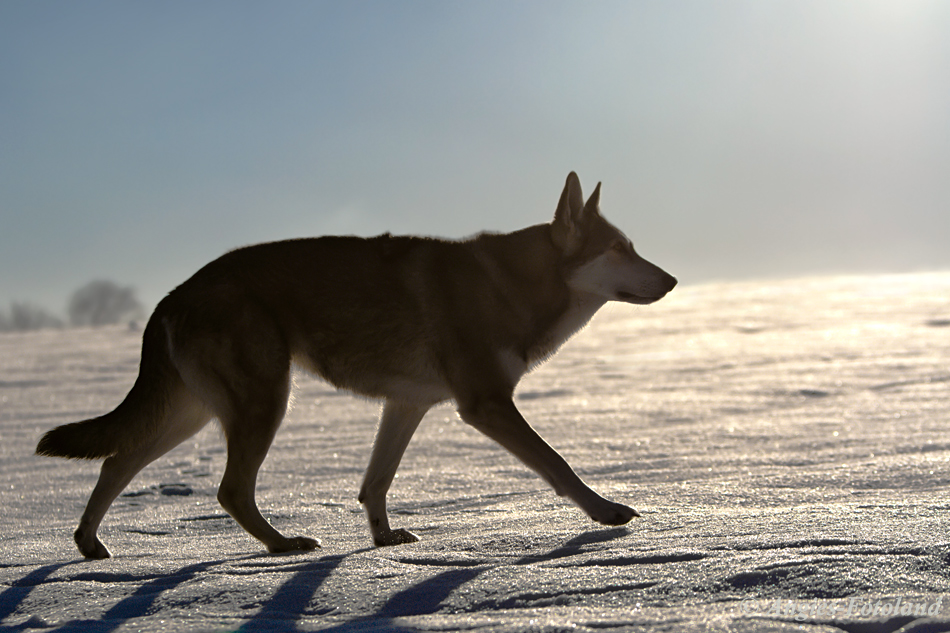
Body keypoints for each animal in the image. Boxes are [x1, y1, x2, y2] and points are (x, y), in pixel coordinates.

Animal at [35, 173, 676, 556]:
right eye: (620, 248)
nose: (672, 281)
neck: (511, 285)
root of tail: (173, 294)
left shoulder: (408, 404)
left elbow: (376, 483)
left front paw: (385, 540)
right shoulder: (485, 405)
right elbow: (558, 465)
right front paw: (605, 512)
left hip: (193, 415)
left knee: (116, 462)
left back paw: (89, 546)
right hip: (263, 403)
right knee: (227, 489)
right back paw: (282, 545)